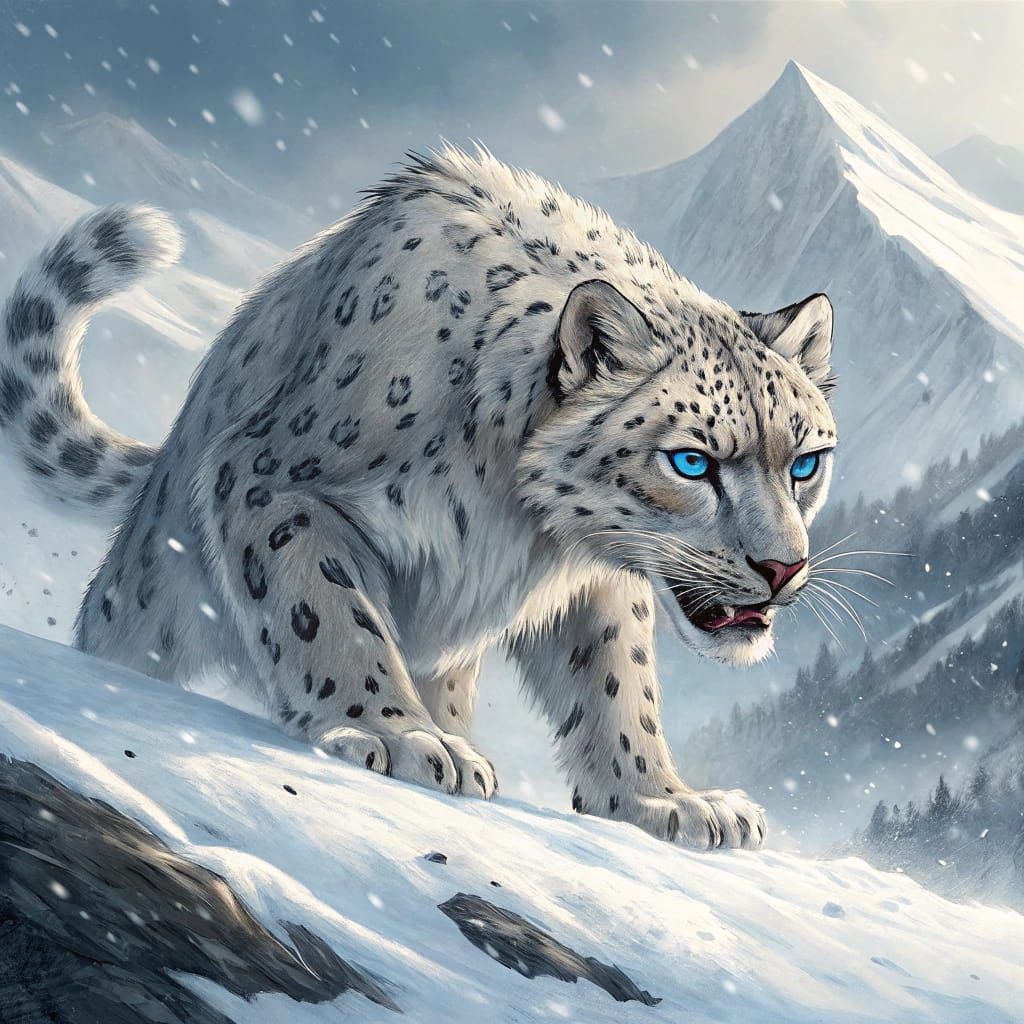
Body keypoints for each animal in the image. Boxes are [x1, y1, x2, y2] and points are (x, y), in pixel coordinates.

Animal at [0, 146, 838, 849]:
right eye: (692, 462)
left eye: (805, 463)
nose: (783, 569)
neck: (519, 519)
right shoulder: (278, 482)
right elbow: (328, 610)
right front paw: (394, 733)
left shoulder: (595, 580)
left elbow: (616, 680)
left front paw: (664, 799)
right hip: (153, 606)